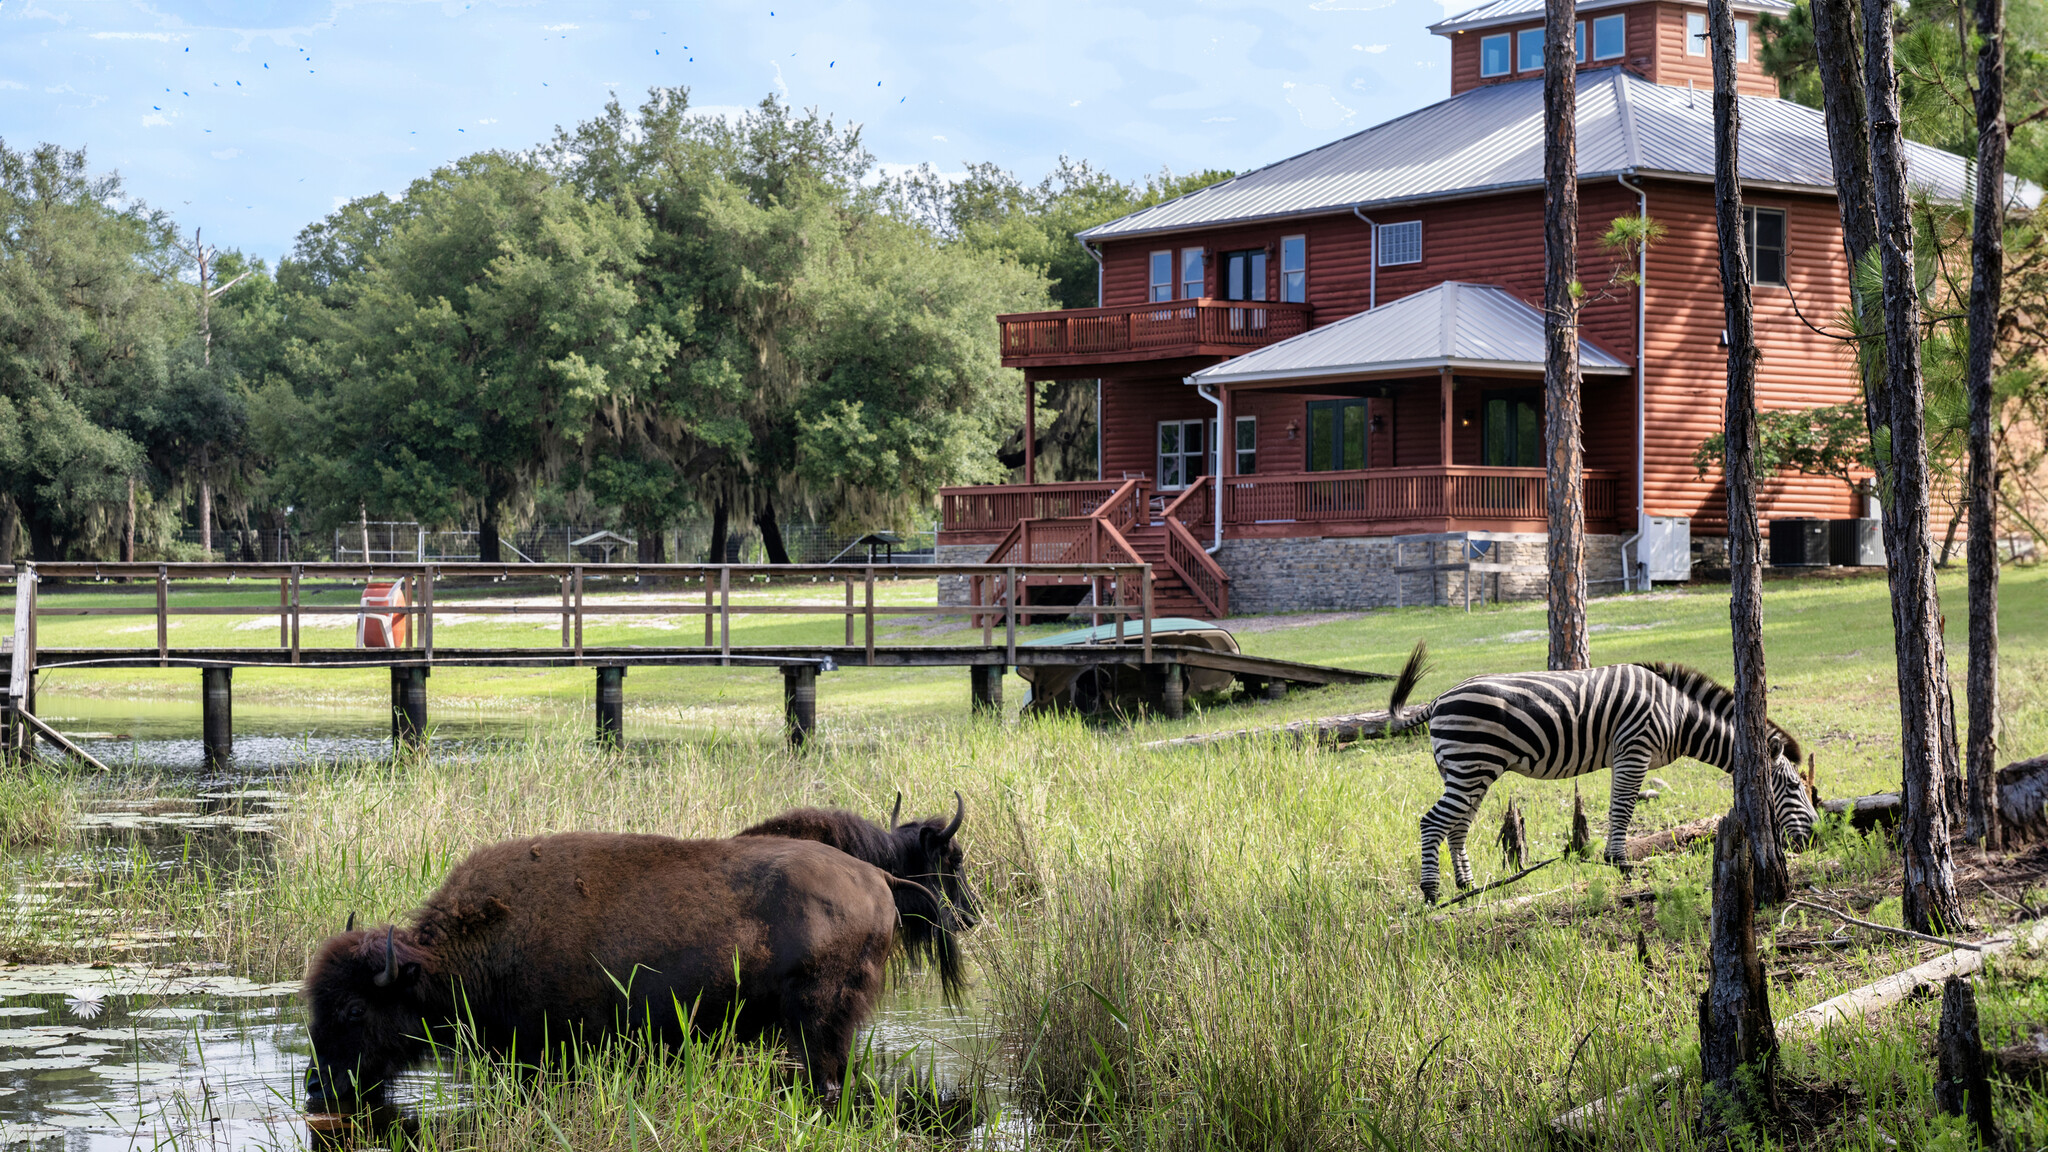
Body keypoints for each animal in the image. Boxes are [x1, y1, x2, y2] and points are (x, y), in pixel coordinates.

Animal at [1384, 639, 1818, 901]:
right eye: (1793, 787)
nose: (1816, 836)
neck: (1679, 714)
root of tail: (1439, 699)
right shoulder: (1635, 749)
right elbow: (1623, 808)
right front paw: (1621, 863)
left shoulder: (1627, 755)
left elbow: (1618, 807)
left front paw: (1614, 859)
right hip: (1470, 766)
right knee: (1431, 822)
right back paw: (1431, 892)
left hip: (1468, 771)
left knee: (1456, 826)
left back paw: (1468, 887)